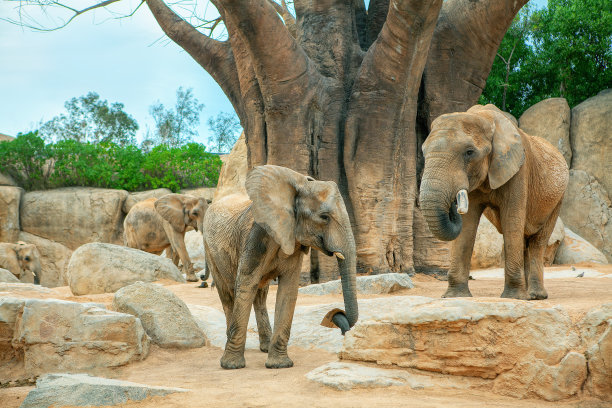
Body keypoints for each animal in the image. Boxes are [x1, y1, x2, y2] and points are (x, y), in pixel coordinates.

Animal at [206, 165, 358, 370]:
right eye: (324, 217)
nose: (334, 314)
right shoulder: (257, 236)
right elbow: (245, 286)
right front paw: (232, 366)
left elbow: (288, 291)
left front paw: (279, 365)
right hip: (210, 250)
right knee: (228, 294)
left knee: (260, 295)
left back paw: (265, 347)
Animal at [420, 103, 568, 300]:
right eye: (423, 151)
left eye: (469, 152)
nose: (453, 206)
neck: (484, 117)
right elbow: (468, 225)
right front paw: (455, 296)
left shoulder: (519, 170)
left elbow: (511, 220)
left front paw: (513, 297)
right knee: (523, 239)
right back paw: (529, 295)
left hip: (557, 199)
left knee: (537, 241)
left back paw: (535, 296)